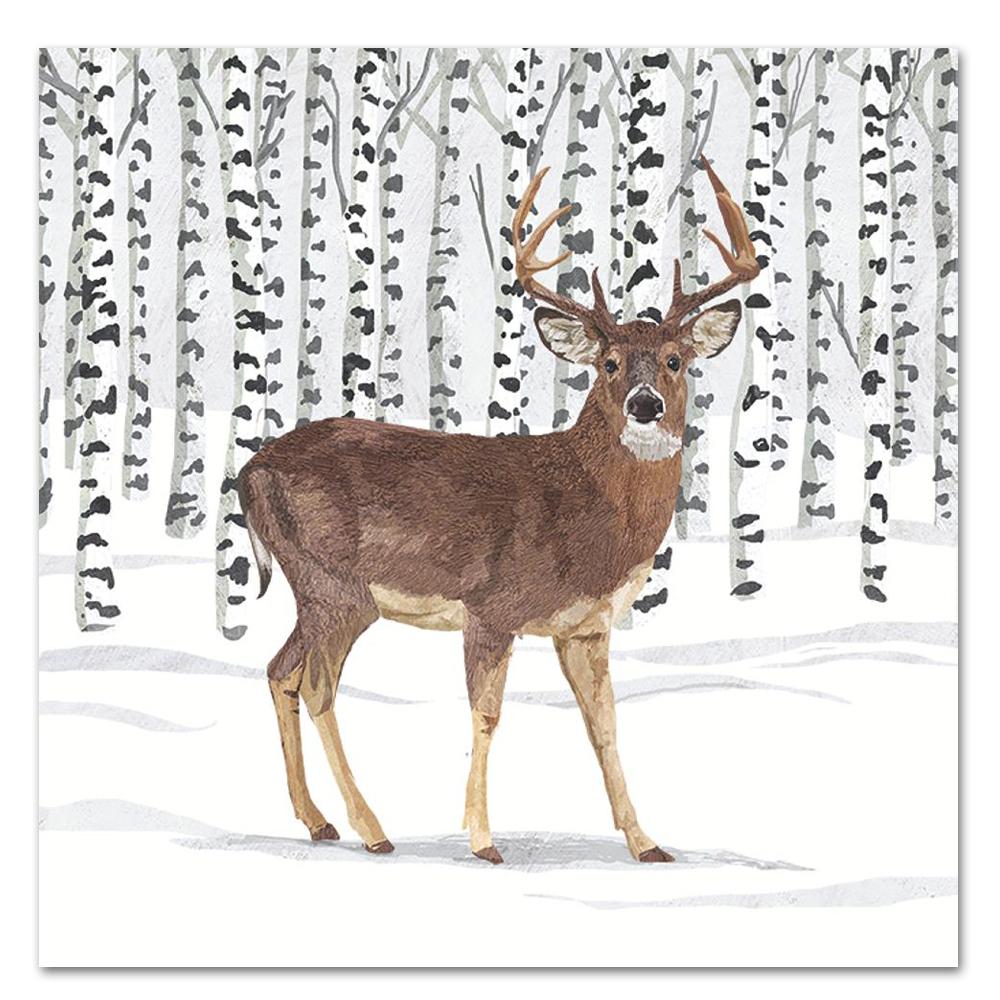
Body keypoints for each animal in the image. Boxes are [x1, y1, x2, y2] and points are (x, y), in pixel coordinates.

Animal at [237, 154, 759, 864]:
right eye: (609, 362)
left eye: (676, 360)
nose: (645, 404)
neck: (590, 517)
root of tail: (249, 471)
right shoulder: (491, 606)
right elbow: (487, 715)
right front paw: (484, 840)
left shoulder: (585, 626)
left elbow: (605, 725)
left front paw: (646, 842)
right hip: (335, 584)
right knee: (316, 684)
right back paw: (372, 829)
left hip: (313, 589)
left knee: (279, 671)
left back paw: (318, 821)